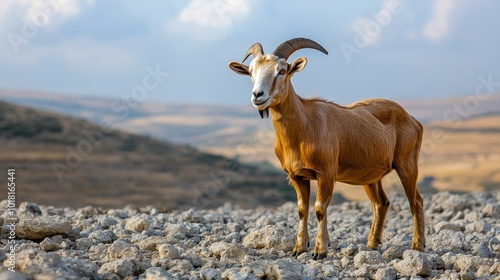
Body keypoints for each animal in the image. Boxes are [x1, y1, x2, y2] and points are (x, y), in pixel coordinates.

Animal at [229, 37, 424, 260]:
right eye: (251, 72)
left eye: (282, 70)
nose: (258, 95)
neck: (304, 127)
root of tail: (413, 120)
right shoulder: (297, 177)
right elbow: (302, 210)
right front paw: (299, 248)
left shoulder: (326, 174)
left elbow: (320, 208)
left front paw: (320, 250)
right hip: (370, 176)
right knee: (381, 203)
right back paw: (372, 245)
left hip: (407, 165)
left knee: (416, 201)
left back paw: (417, 246)